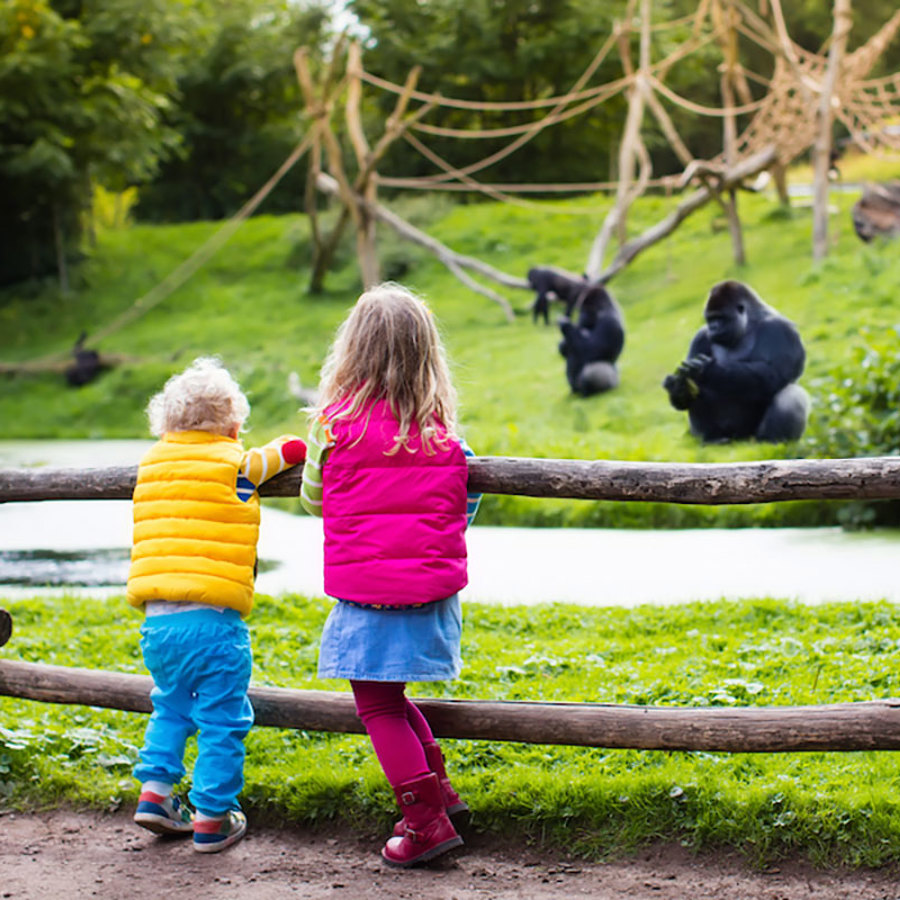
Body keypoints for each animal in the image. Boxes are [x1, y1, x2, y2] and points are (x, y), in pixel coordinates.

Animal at [660, 278, 808, 440]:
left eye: (720, 317)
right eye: (710, 319)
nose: (713, 327)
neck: (750, 322)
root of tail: (738, 439)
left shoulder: (781, 329)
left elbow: (774, 374)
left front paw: (706, 370)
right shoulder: (700, 336)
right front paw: (678, 387)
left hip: (751, 437)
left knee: (791, 394)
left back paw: (773, 441)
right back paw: (713, 439)